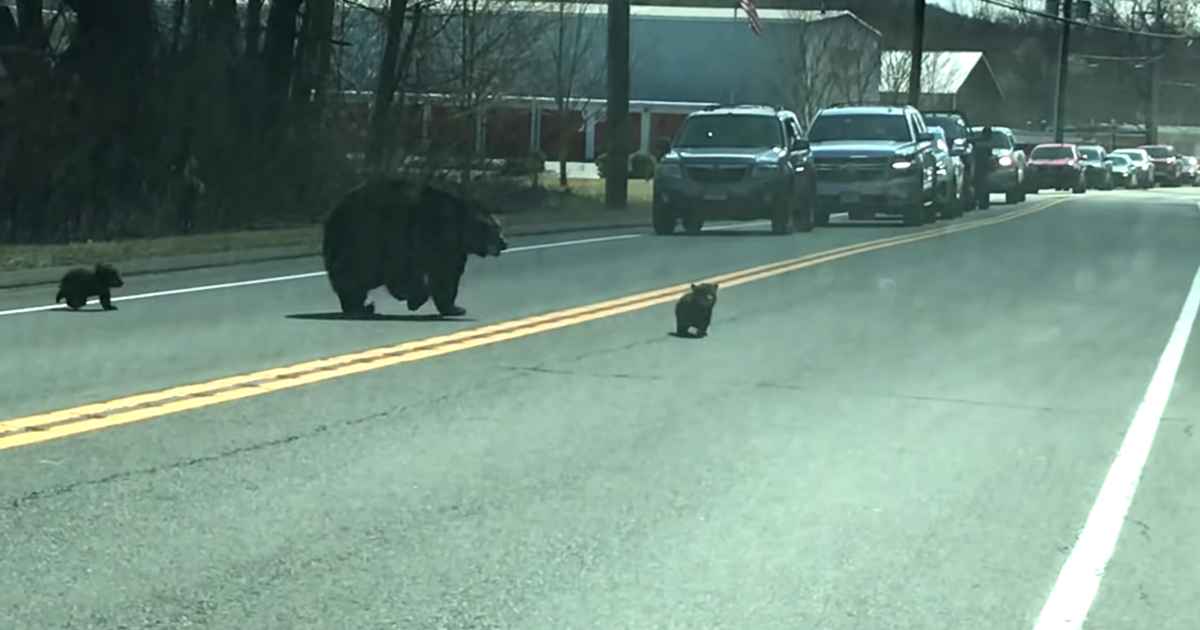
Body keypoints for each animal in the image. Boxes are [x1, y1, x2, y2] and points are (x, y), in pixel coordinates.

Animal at [319, 175, 506, 314]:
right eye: (496, 228)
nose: (504, 243)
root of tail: (333, 214)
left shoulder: (451, 248)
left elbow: (446, 275)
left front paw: (454, 308)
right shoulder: (423, 236)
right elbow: (416, 271)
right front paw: (415, 298)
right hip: (362, 237)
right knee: (354, 271)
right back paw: (359, 305)